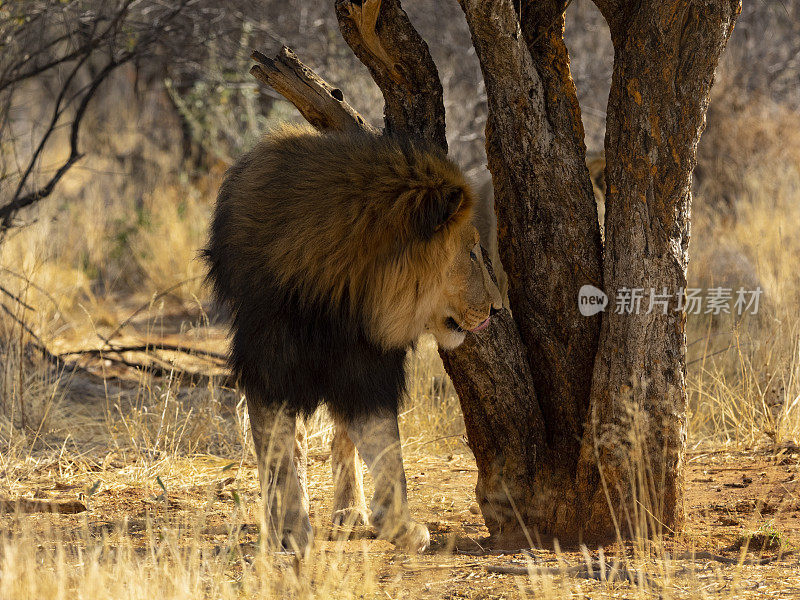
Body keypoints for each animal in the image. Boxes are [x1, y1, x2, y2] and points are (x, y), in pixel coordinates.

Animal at [203, 125, 504, 552]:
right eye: (473, 254)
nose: (498, 308)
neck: (338, 294)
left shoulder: (366, 365)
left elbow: (386, 450)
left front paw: (396, 525)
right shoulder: (268, 364)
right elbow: (279, 454)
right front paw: (289, 529)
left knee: (342, 440)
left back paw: (350, 511)